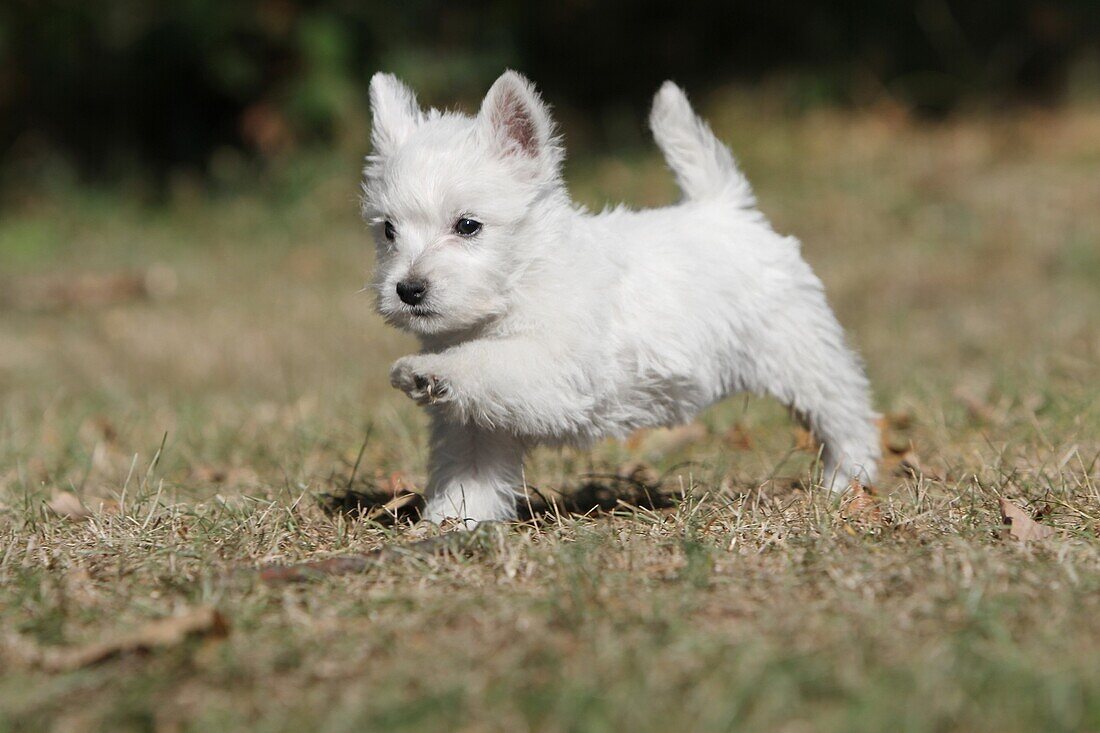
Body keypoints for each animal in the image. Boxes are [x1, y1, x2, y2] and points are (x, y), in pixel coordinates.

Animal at [365, 71, 880, 521]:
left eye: (468, 225)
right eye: (388, 231)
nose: (408, 289)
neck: (522, 281)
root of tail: (726, 207)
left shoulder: (552, 369)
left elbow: (483, 361)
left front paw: (424, 371)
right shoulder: (473, 425)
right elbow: (467, 472)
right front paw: (452, 523)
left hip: (801, 354)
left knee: (845, 412)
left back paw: (847, 482)